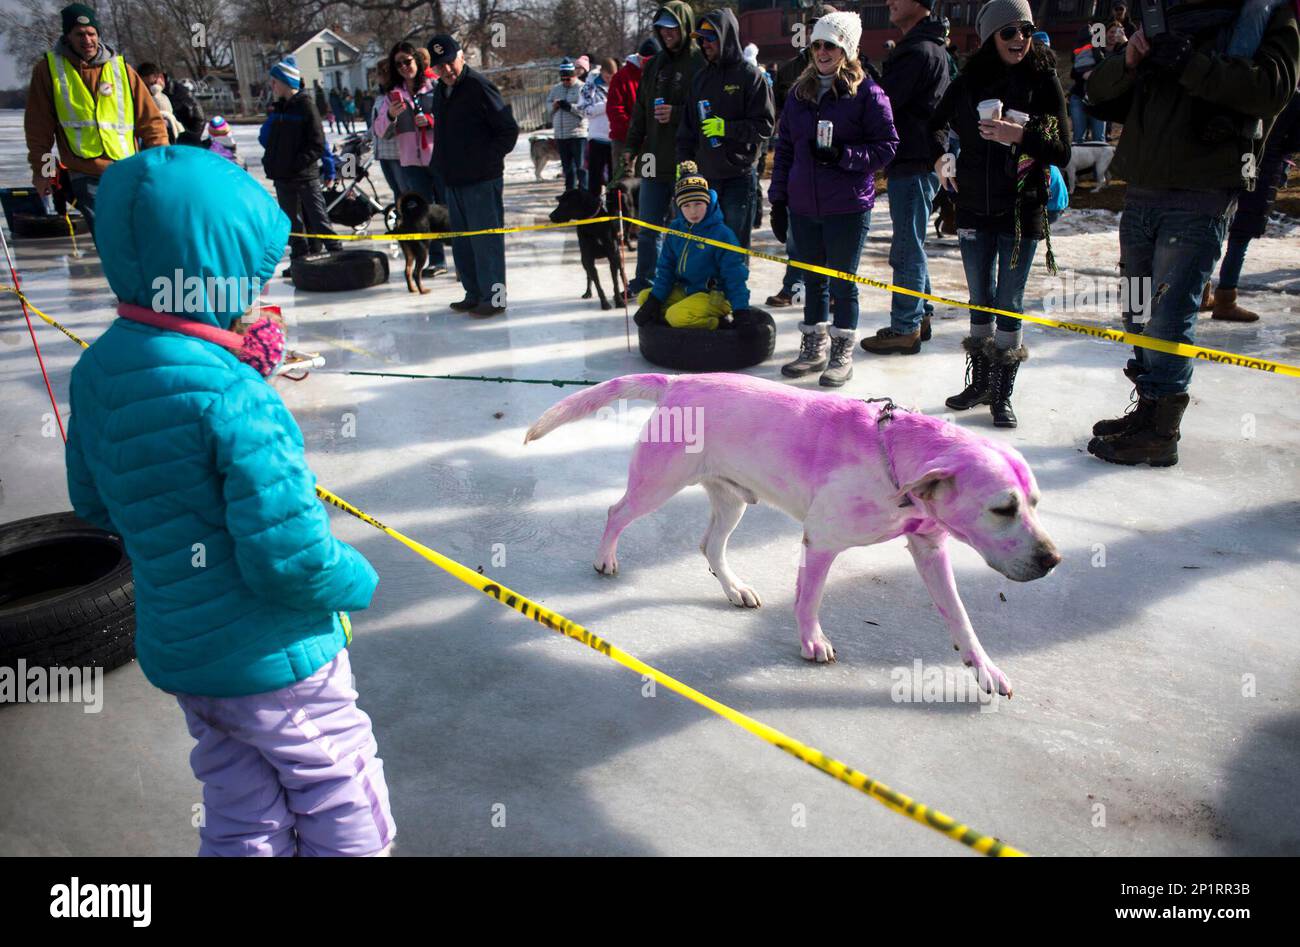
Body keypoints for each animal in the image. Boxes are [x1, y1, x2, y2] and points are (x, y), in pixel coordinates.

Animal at [522, 372, 1060, 697]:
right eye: (1002, 508)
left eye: (1034, 503)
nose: (1053, 560)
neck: (895, 461)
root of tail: (678, 379)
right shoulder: (821, 542)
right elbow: (809, 599)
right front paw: (811, 641)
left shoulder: (930, 549)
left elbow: (961, 619)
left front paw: (984, 669)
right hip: (656, 485)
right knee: (616, 511)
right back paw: (606, 558)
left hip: (732, 501)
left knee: (709, 546)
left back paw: (734, 588)